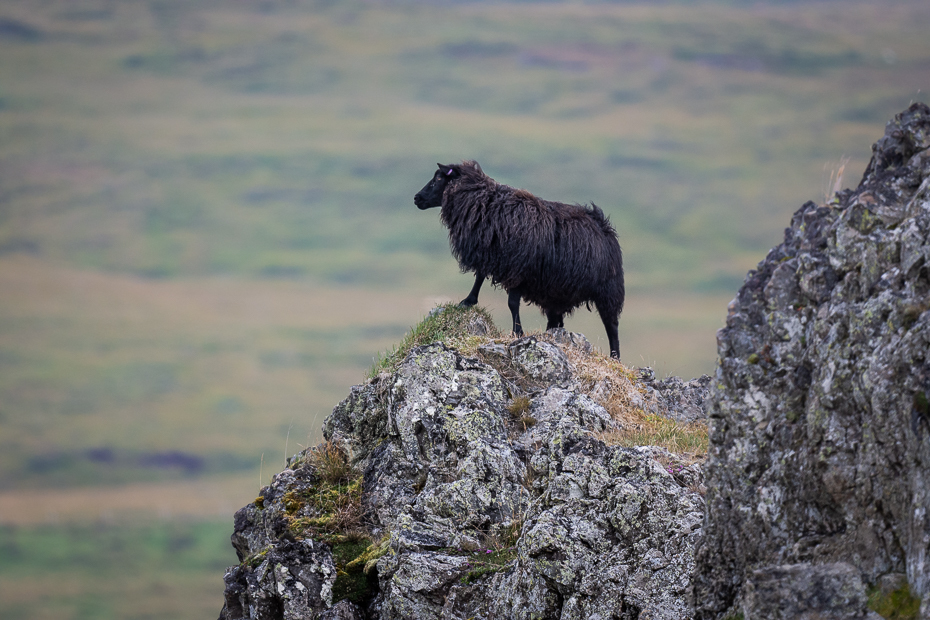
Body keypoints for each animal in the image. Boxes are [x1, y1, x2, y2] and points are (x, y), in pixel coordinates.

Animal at [416, 160, 624, 358]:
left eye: (439, 178)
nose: (416, 198)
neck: (485, 203)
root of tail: (603, 224)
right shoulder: (491, 253)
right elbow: (480, 276)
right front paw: (468, 301)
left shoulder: (517, 268)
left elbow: (512, 303)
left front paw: (518, 332)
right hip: (556, 293)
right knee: (556, 320)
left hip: (608, 290)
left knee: (611, 325)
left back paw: (615, 357)